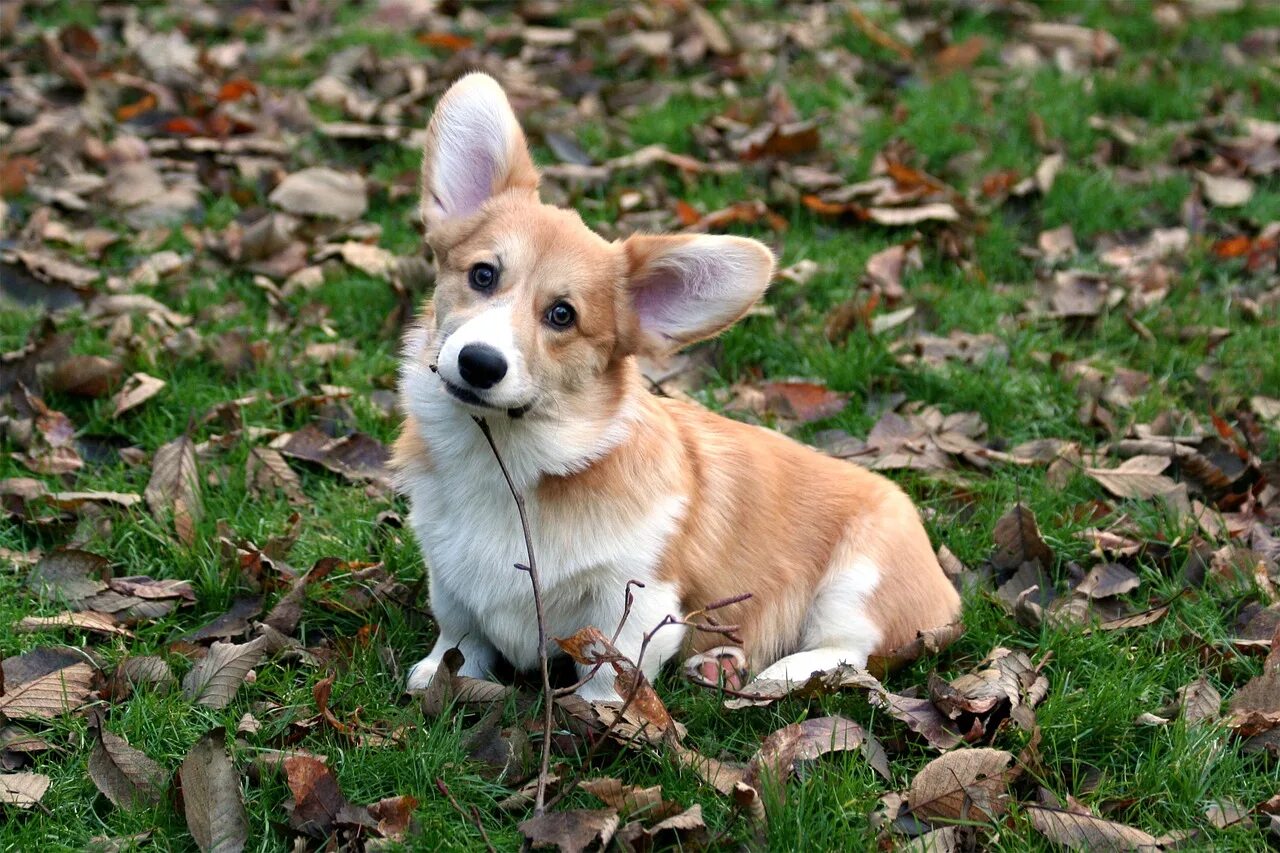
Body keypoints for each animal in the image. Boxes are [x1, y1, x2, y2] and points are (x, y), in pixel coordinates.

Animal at [391, 71, 962, 696]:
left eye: (562, 315)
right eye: (482, 275)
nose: (479, 363)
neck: (511, 463)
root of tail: (948, 589)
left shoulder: (638, 595)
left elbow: (606, 671)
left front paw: (599, 712)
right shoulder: (449, 573)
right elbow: (460, 633)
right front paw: (437, 675)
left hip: (860, 576)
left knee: (849, 651)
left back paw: (778, 673)